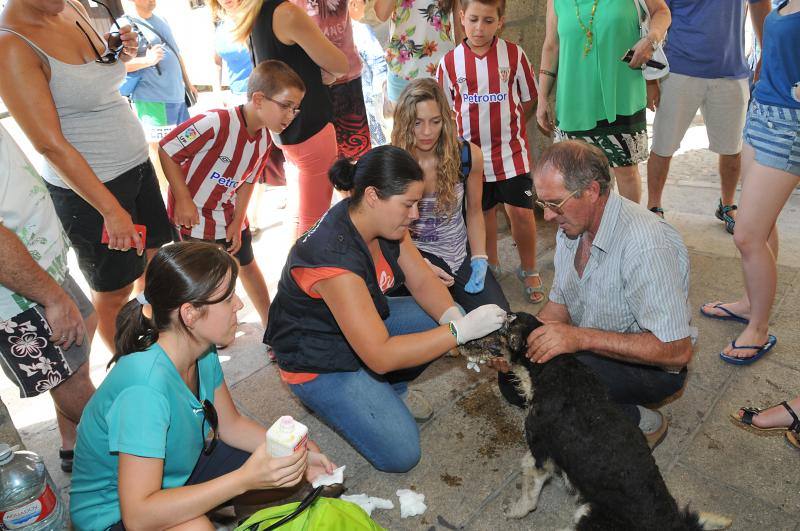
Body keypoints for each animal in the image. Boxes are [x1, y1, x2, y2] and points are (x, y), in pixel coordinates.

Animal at [456, 314, 732, 528]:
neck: (551, 368)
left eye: (500, 327)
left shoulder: (541, 453)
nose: (460, 341)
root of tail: (669, 523)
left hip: (586, 514)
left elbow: (529, 494)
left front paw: (515, 511)